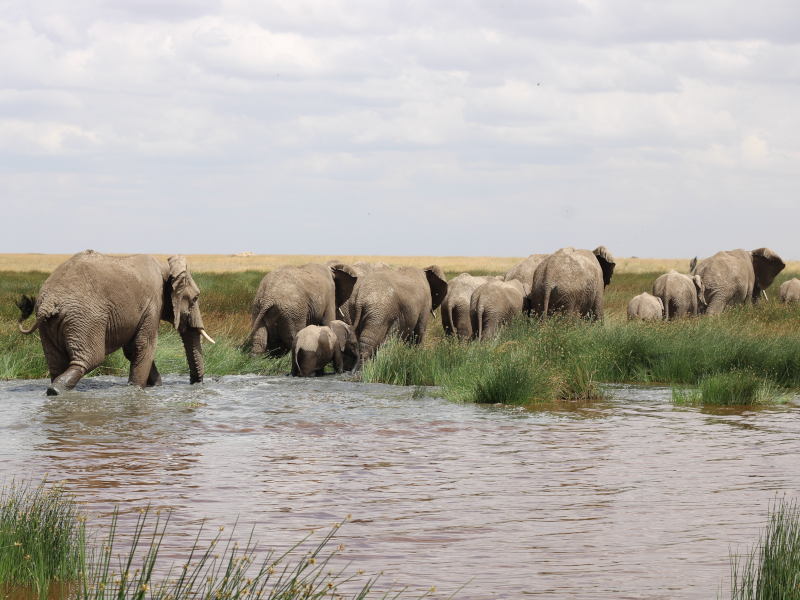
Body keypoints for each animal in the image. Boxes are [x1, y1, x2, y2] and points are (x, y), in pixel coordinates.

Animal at [17, 251, 211, 396]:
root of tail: (49, 302)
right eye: (195, 298)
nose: (196, 384)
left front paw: (155, 386)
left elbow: (132, 350)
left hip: (49, 325)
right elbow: (144, 345)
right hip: (86, 319)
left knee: (56, 362)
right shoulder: (153, 303)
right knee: (90, 359)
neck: (165, 267)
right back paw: (56, 391)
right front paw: (136, 389)